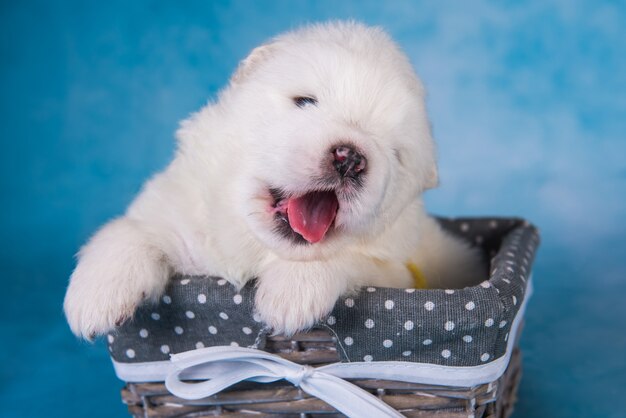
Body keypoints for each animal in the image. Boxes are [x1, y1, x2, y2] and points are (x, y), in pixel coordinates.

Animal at [63, 21, 482, 338]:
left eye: (396, 153)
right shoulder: (176, 217)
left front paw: (292, 294)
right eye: (305, 101)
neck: (251, 247)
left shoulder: (397, 269)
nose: (350, 158)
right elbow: (130, 231)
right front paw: (95, 297)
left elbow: (342, 256)